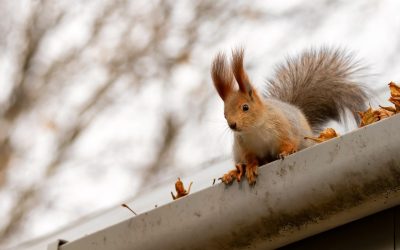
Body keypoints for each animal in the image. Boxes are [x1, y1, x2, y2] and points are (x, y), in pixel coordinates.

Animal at [212, 47, 368, 185]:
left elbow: (289, 141)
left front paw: (287, 151)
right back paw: (232, 173)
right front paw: (250, 167)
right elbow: (250, 159)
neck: (255, 130)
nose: (232, 125)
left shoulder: (283, 127)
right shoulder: (244, 147)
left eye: (245, 107)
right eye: (224, 114)